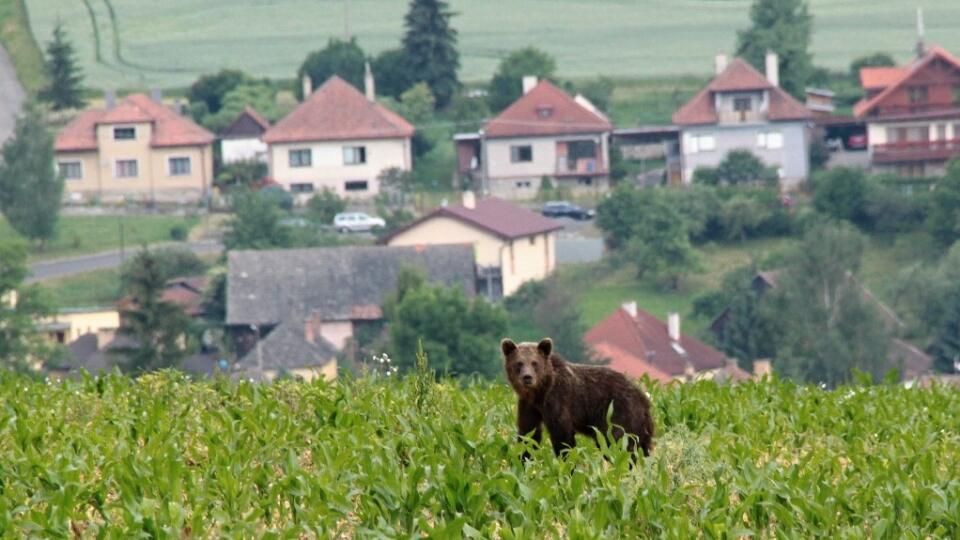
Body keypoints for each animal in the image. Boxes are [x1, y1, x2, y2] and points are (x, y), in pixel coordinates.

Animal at [502, 338, 652, 460]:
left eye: (534, 363)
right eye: (519, 363)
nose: (527, 377)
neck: (539, 393)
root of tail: (643, 398)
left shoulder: (559, 400)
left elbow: (563, 436)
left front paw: (566, 463)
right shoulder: (528, 406)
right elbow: (528, 434)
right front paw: (523, 459)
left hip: (619, 414)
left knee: (619, 444)